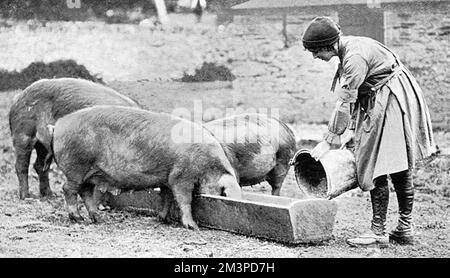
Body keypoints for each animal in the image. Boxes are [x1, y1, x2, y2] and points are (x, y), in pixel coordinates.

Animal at [8, 77, 141, 200]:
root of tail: (18, 97)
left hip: (44, 145)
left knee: (40, 166)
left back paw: (51, 195)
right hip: (23, 133)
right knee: (21, 165)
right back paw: (27, 197)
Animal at [51, 105, 243, 229]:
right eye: (224, 193)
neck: (208, 164)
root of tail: (59, 124)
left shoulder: (167, 179)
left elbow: (167, 198)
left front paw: (163, 220)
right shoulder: (180, 176)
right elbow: (184, 199)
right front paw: (193, 227)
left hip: (90, 172)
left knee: (86, 192)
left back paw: (97, 219)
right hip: (76, 166)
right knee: (68, 189)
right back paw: (77, 218)